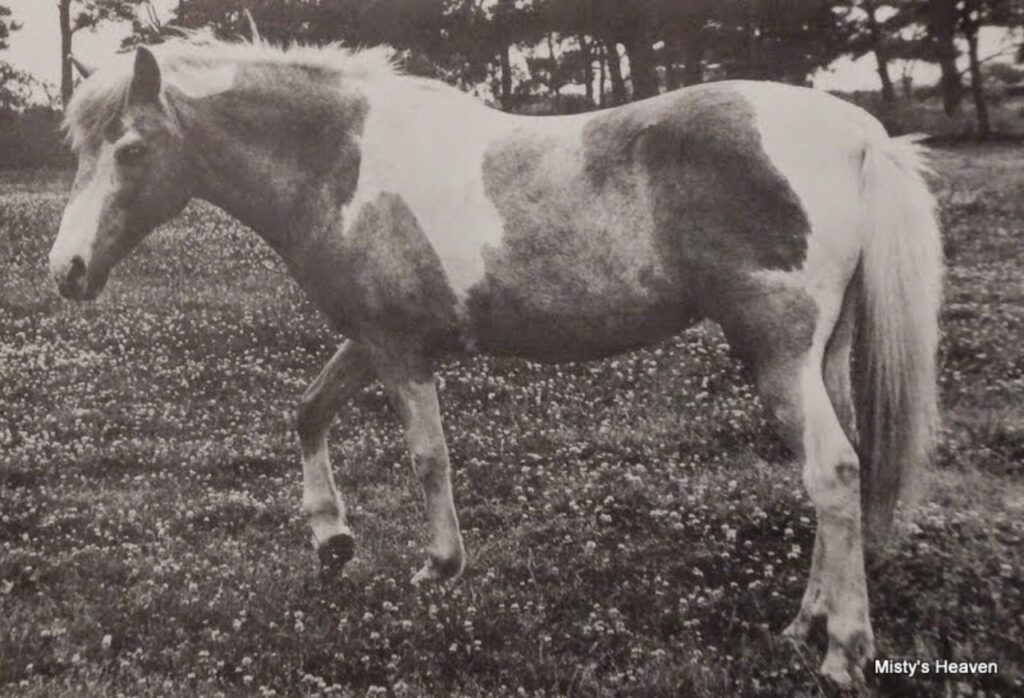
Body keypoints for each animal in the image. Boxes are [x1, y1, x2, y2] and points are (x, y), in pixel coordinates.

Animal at [50, 39, 942, 686]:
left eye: (130, 150)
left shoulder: (399, 349)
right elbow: (306, 412)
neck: (341, 163)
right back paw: (805, 624)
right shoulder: (371, 339)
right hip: (819, 357)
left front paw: (438, 567)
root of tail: (859, 135)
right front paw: (331, 540)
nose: (66, 270)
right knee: (838, 474)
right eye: (80, 151)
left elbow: (427, 456)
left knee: (832, 473)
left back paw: (843, 651)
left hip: (778, 353)